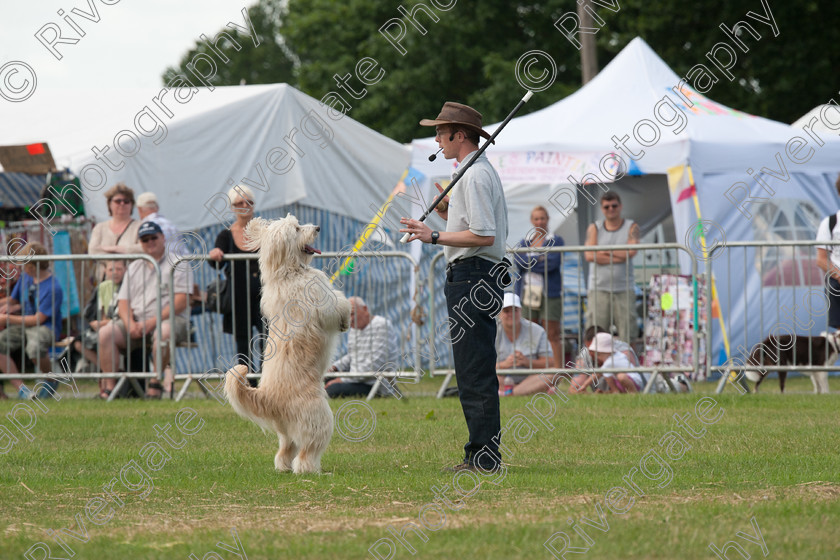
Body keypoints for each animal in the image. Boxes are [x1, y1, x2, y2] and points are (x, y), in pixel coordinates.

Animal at [221, 214, 350, 472]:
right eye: (297, 228)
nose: (318, 227)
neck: (287, 272)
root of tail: (267, 397)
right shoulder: (320, 296)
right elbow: (337, 305)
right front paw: (345, 316)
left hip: (286, 430)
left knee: (284, 450)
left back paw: (284, 467)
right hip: (318, 418)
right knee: (307, 452)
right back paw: (311, 469)